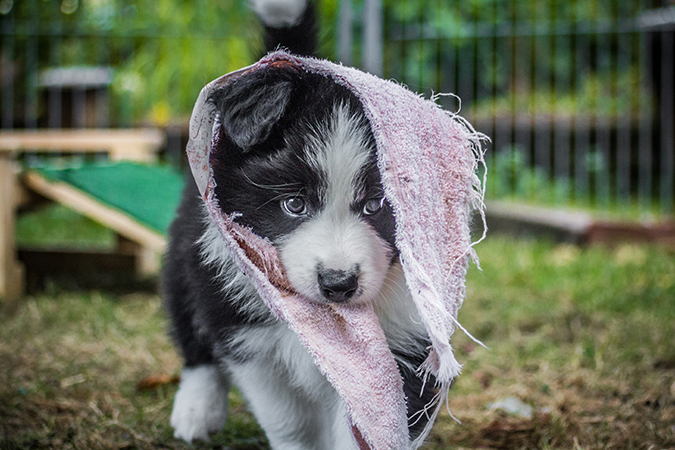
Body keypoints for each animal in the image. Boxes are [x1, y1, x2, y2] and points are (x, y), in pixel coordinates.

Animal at [166, 1, 436, 448]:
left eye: (376, 205)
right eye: (294, 204)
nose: (339, 283)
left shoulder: (405, 345)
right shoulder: (252, 343)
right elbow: (289, 420)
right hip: (189, 258)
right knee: (191, 333)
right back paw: (196, 410)